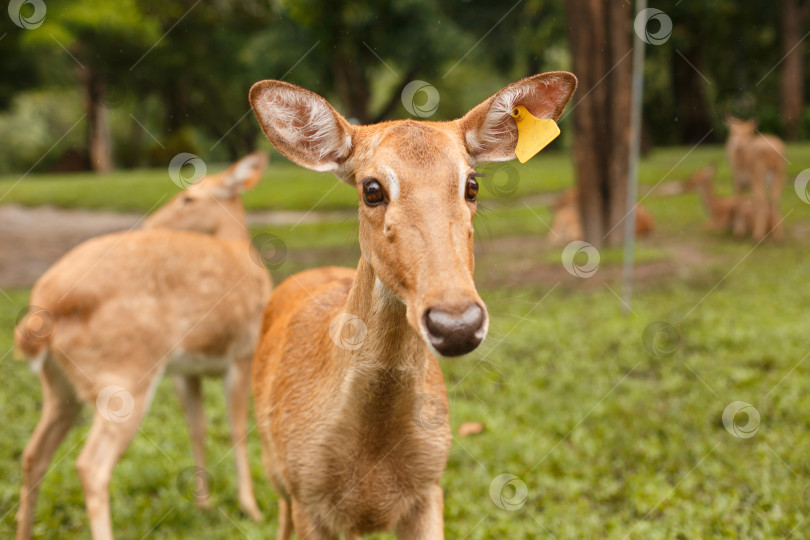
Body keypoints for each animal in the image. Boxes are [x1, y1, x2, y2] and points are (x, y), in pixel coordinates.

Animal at [14, 152, 272, 540]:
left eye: (188, 198)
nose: (150, 222)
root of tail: (42, 306)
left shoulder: (186, 369)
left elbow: (198, 427)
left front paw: (204, 504)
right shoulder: (242, 349)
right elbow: (237, 428)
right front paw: (251, 509)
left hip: (60, 385)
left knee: (34, 453)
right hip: (123, 373)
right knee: (91, 465)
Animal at [246, 73, 576, 540]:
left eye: (472, 184)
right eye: (371, 188)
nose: (456, 322)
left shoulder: (430, 486)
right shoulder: (306, 495)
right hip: (278, 476)